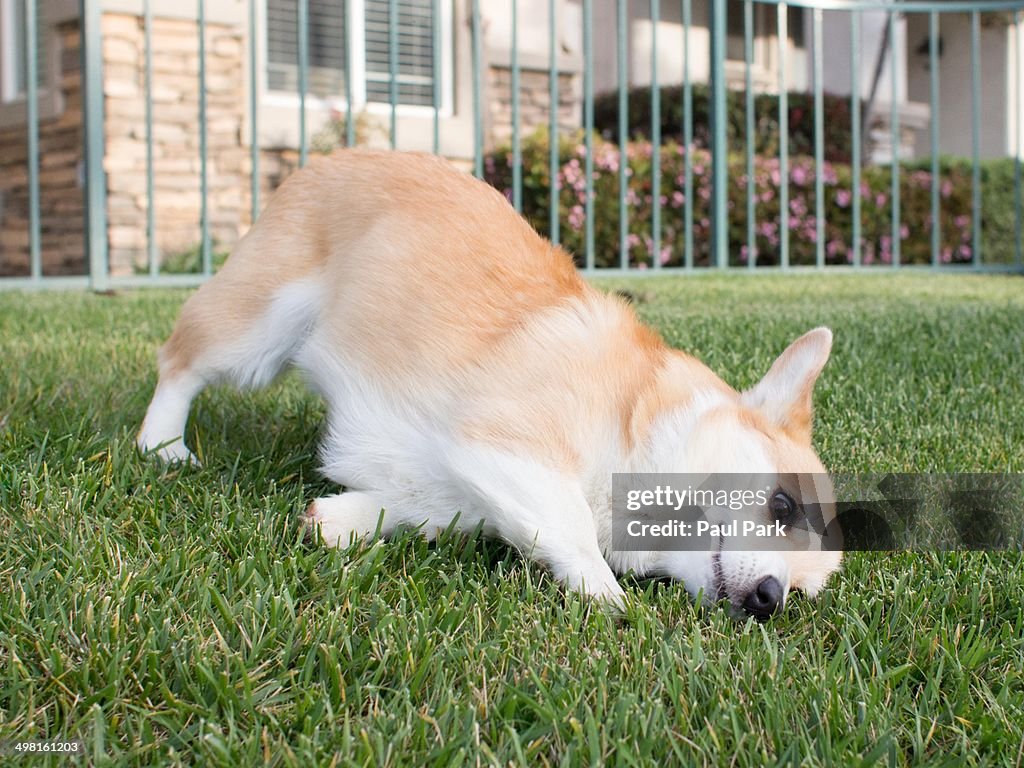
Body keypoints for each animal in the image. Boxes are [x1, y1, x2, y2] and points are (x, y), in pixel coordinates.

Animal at [136, 148, 839, 618]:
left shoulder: (455, 488)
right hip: (256, 332)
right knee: (179, 362)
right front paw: (609, 599)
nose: (770, 600)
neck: (638, 419)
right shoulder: (508, 446)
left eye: (801, 594)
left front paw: (335, 521)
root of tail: (341, 154)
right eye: (782, 505)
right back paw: (162, 446)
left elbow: (403, 510)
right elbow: (570, 526)